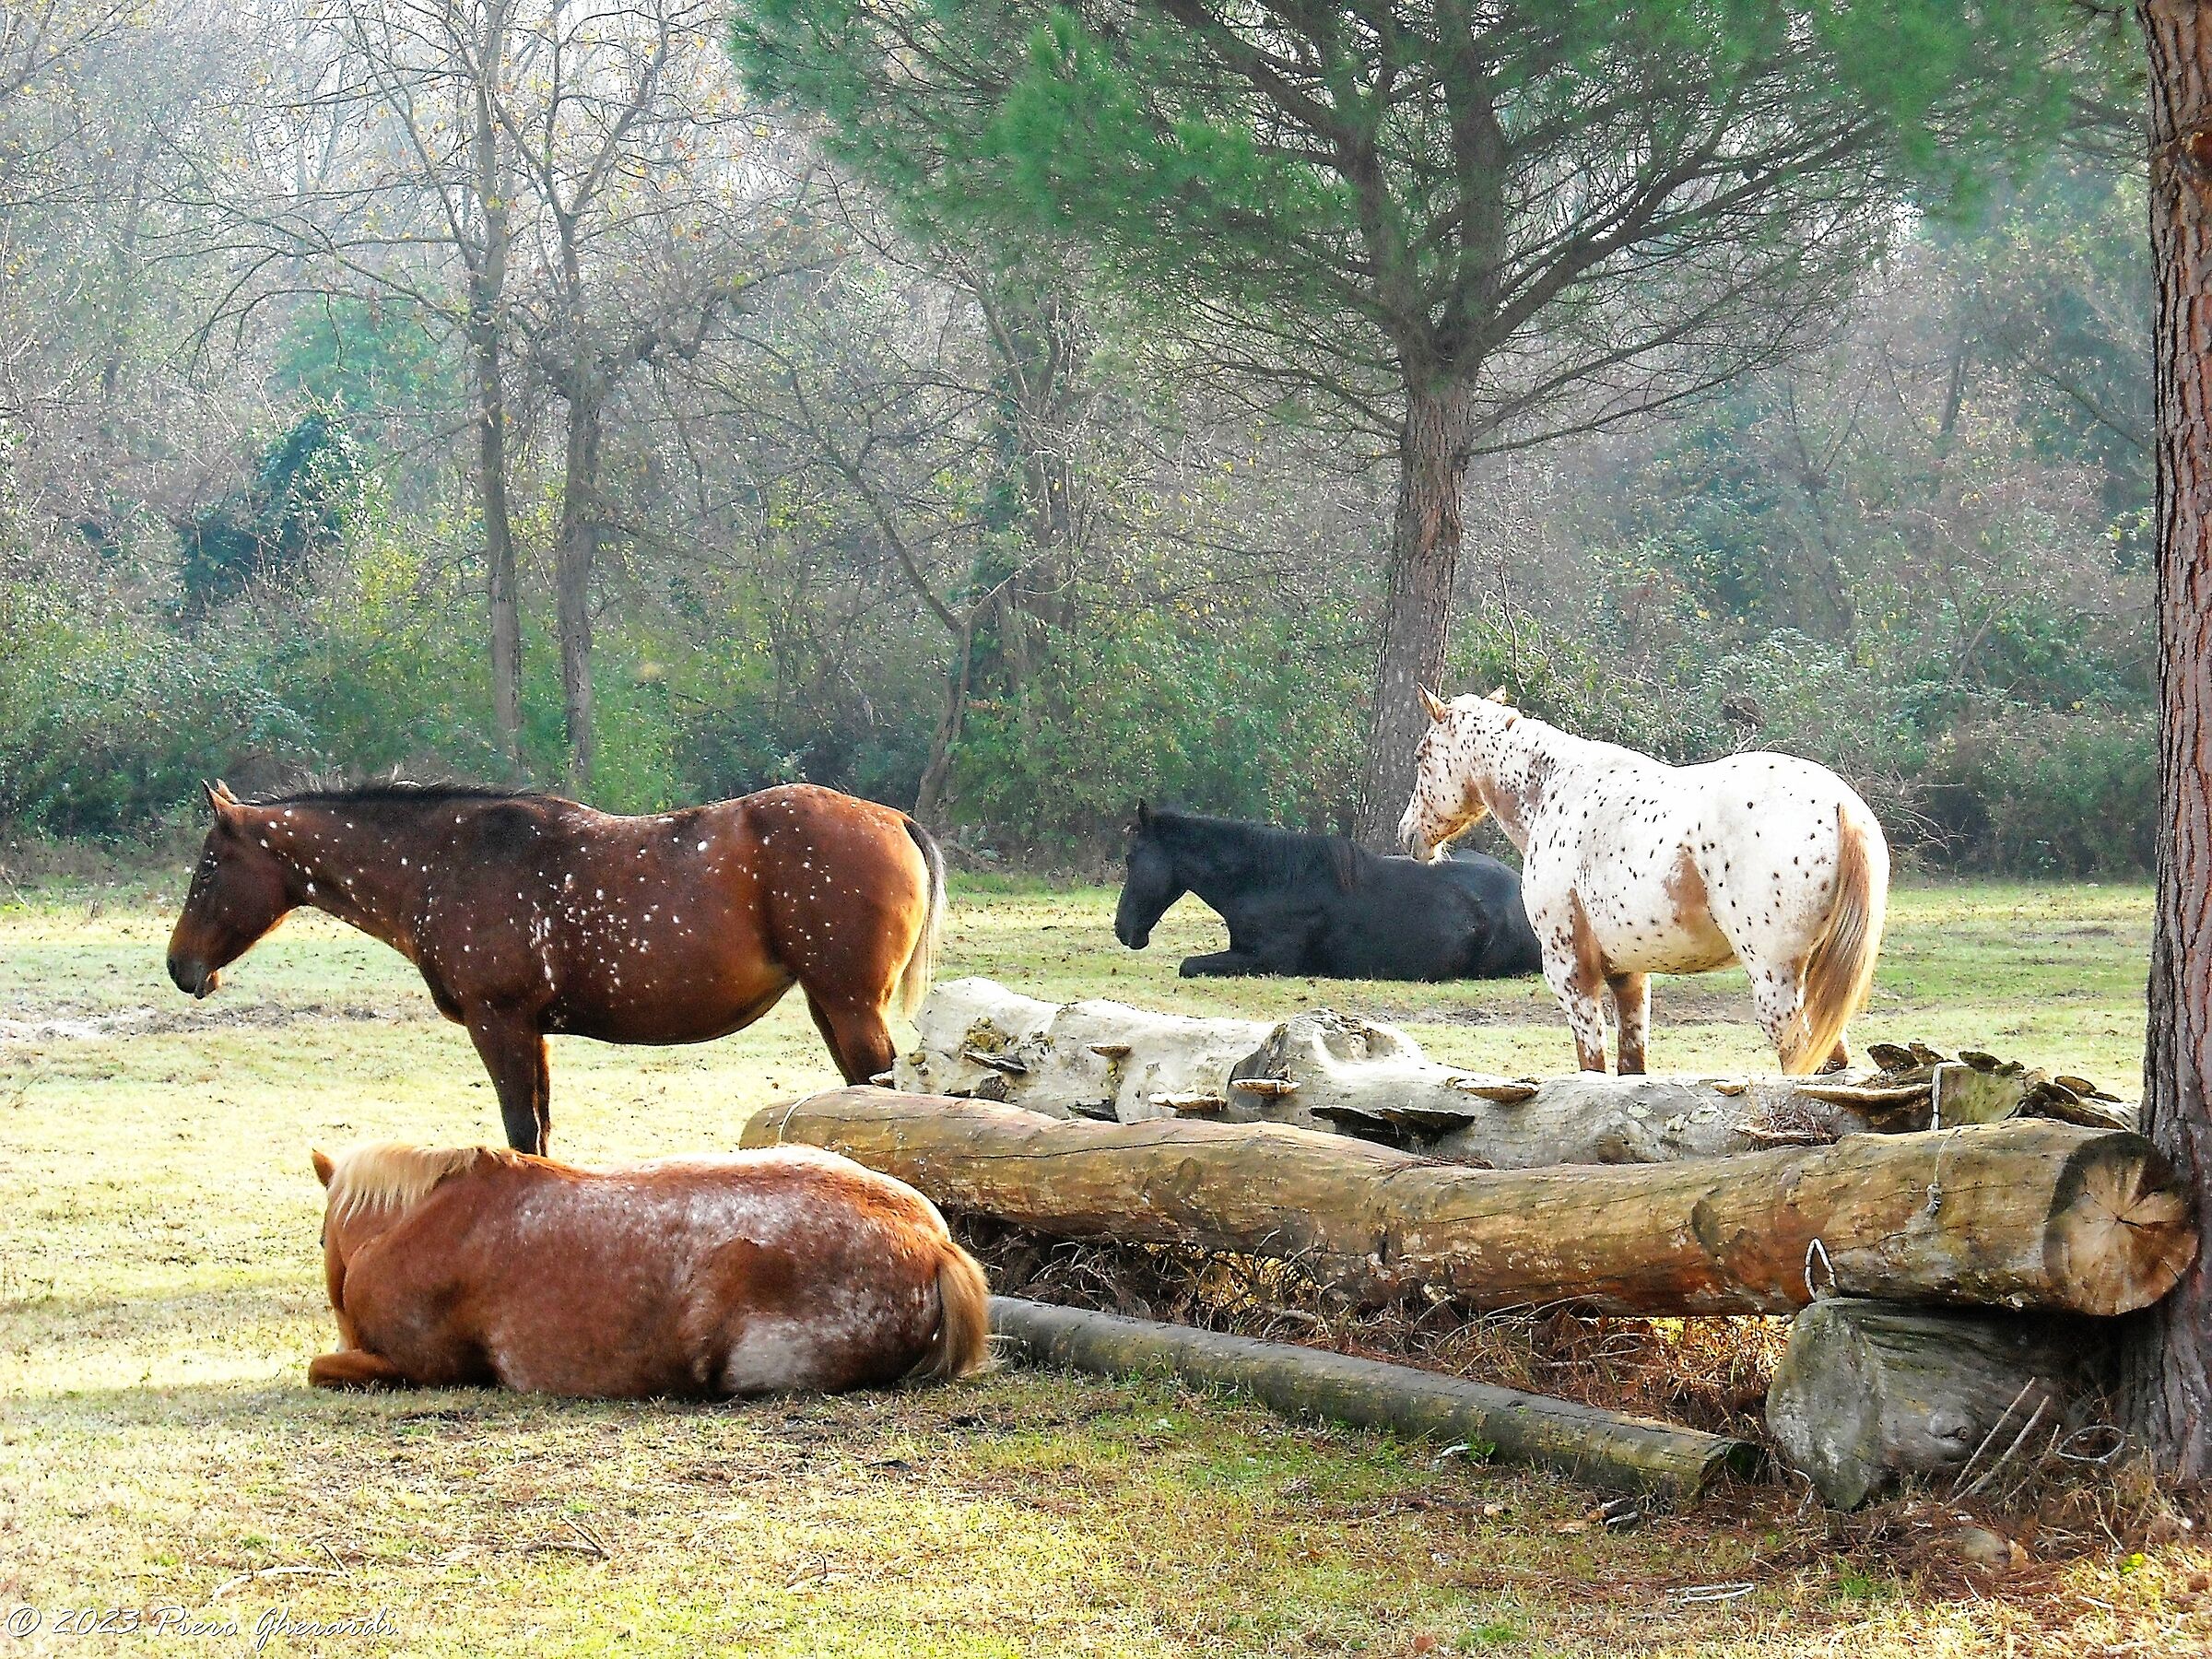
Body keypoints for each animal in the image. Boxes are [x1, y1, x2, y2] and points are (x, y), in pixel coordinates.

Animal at [167, 779, 944, 1154]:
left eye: (208, 867)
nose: (180, 966)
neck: (445, 862)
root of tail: (894, 820)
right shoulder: (532, 1030)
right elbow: (539, 1129)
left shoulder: (499, 1023)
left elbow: (520, 1131)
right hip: (831, 1004)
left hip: (849, 1005)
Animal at [1398, 689, 1888, 1075]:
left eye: (1422, 756)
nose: (1408, 834)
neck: (1554, 790)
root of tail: (1839, 804)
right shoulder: (1629, 978)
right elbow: (1632, 1070)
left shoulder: (1572, 974)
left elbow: (1593, 1068)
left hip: (1774, 984)